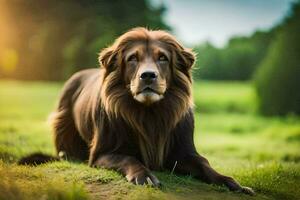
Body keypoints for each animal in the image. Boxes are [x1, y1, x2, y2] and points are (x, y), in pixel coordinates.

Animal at [19, 27, 253, 195]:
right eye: (132, 58)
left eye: (162, 58)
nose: (148, 75)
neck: (149, 112)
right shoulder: (101, 154)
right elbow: (129, 159)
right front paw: (145, 176)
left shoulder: (183, 152)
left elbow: (205, 164)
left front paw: (233, 183)